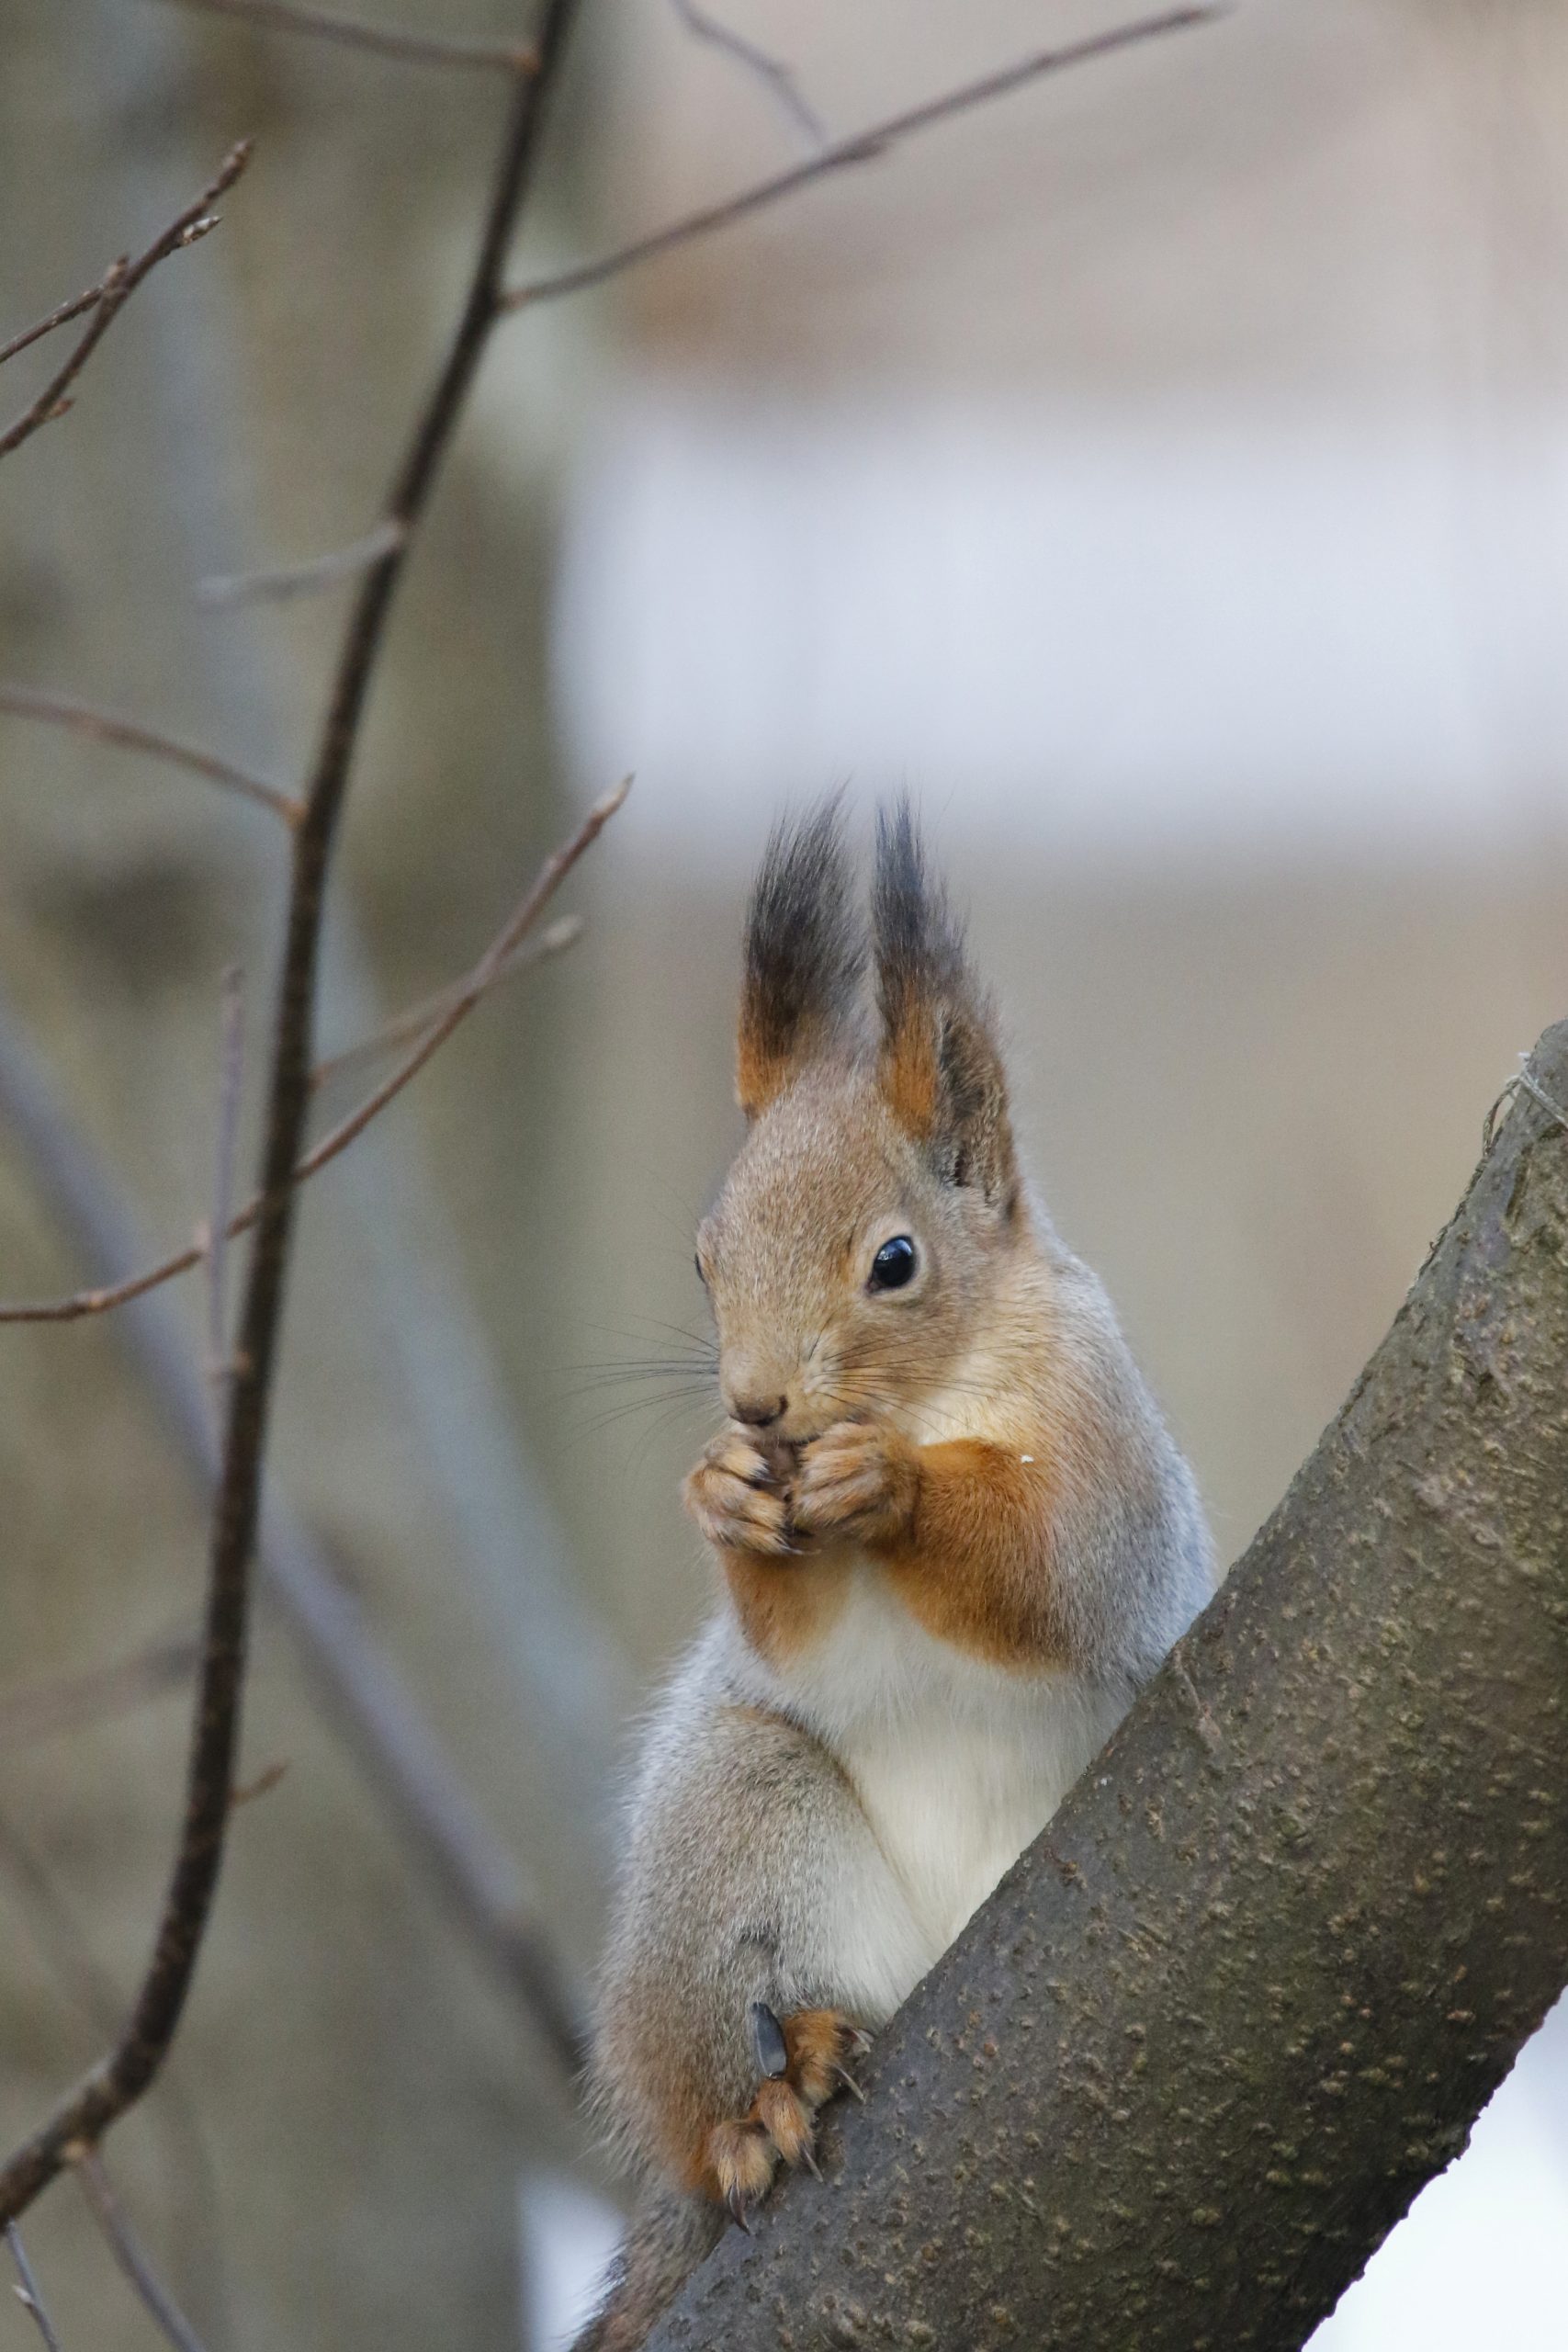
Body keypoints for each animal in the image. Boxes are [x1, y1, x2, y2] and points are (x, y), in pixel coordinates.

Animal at [575, 799, 1215, 2349]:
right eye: (702, 1257)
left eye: (895, 1262)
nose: (754, 1408)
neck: (934, 1398)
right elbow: (795, 1633)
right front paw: (722, 1496)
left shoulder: (1105, 1466)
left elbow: (1051, 1570)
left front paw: (897, 1493)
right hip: (729, 1823)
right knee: (702, 2075)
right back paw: (766, 2096)